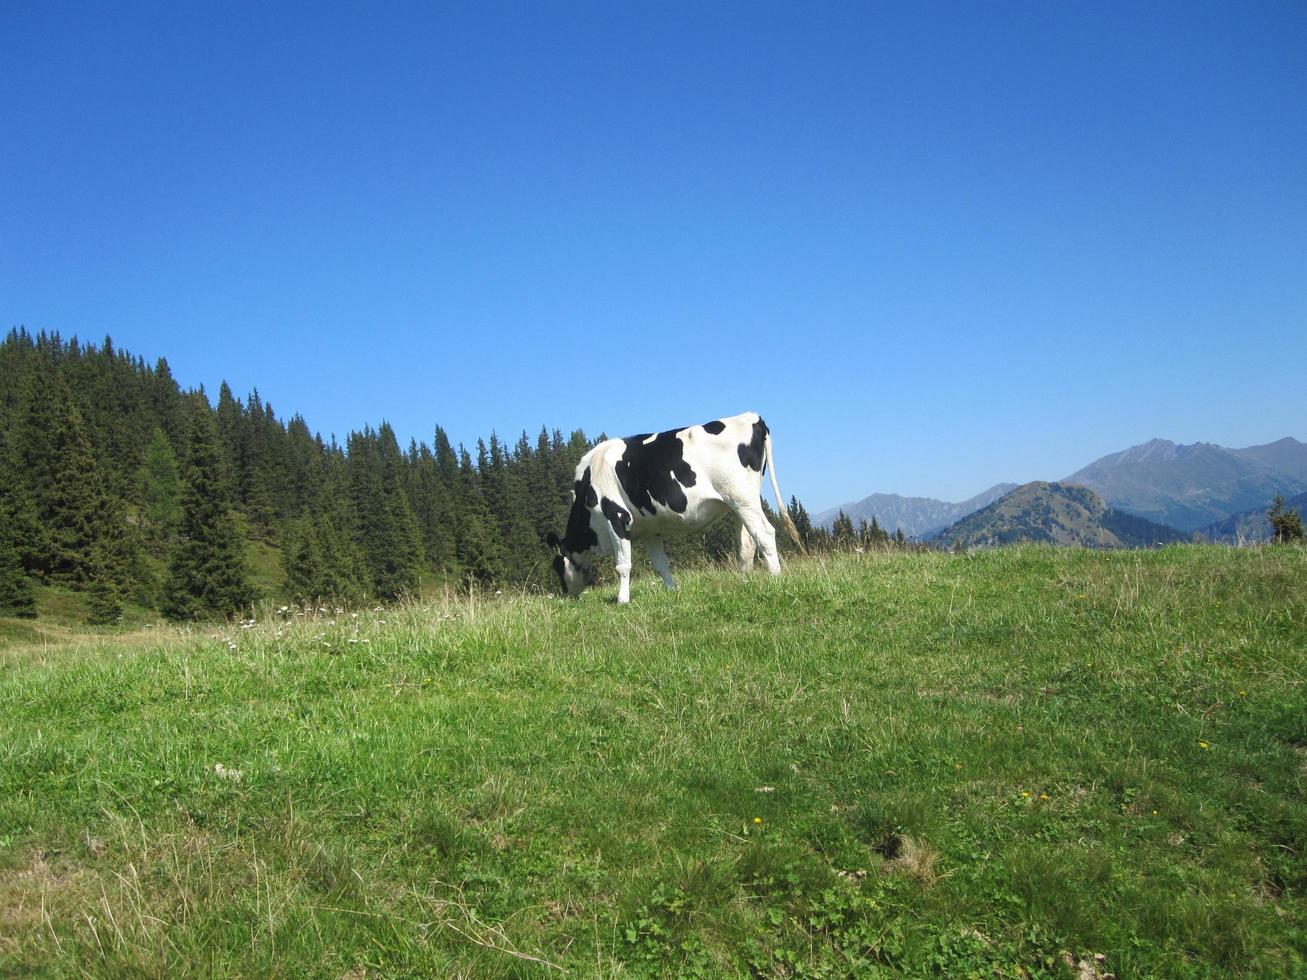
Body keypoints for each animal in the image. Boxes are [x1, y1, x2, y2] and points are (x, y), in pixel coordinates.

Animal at [543, 410, 805, 603]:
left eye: (557, 567)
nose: (566, 597)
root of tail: (752, 417)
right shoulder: (648, 530)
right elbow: (661, 564)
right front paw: (672, 591)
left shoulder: (616, 517)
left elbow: (623, 565)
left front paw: (622, 600)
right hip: (737, 504)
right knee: (747, 545)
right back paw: (746, 583)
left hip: (743, 498)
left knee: (765, 535)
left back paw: (775, 579)